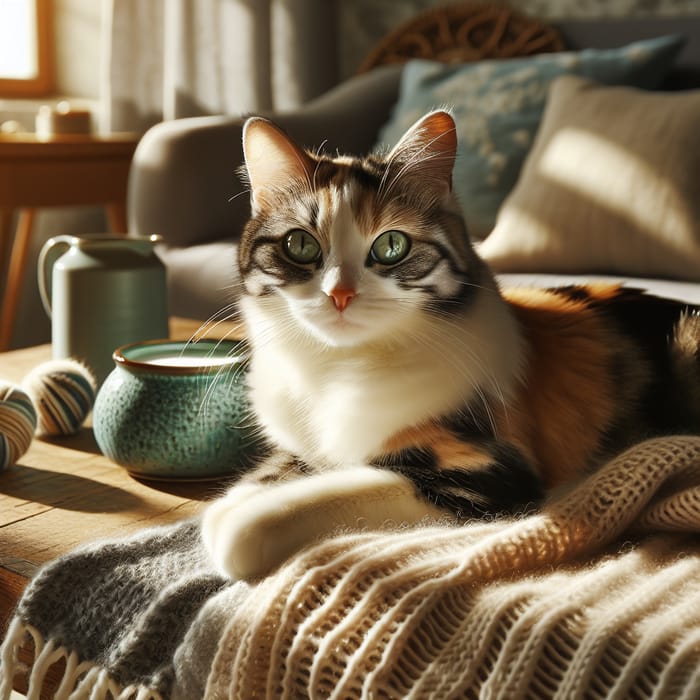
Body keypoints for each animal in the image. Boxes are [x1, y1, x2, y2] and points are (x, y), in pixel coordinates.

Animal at [200, 109, 696, 580]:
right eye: (300, 245)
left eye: (391, 246)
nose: (339, 295)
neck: (337, 369)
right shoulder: (302, 443)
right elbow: (277, 470)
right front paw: (233, 501)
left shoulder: (483, 470)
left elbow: (332, 490)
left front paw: (237, 524)